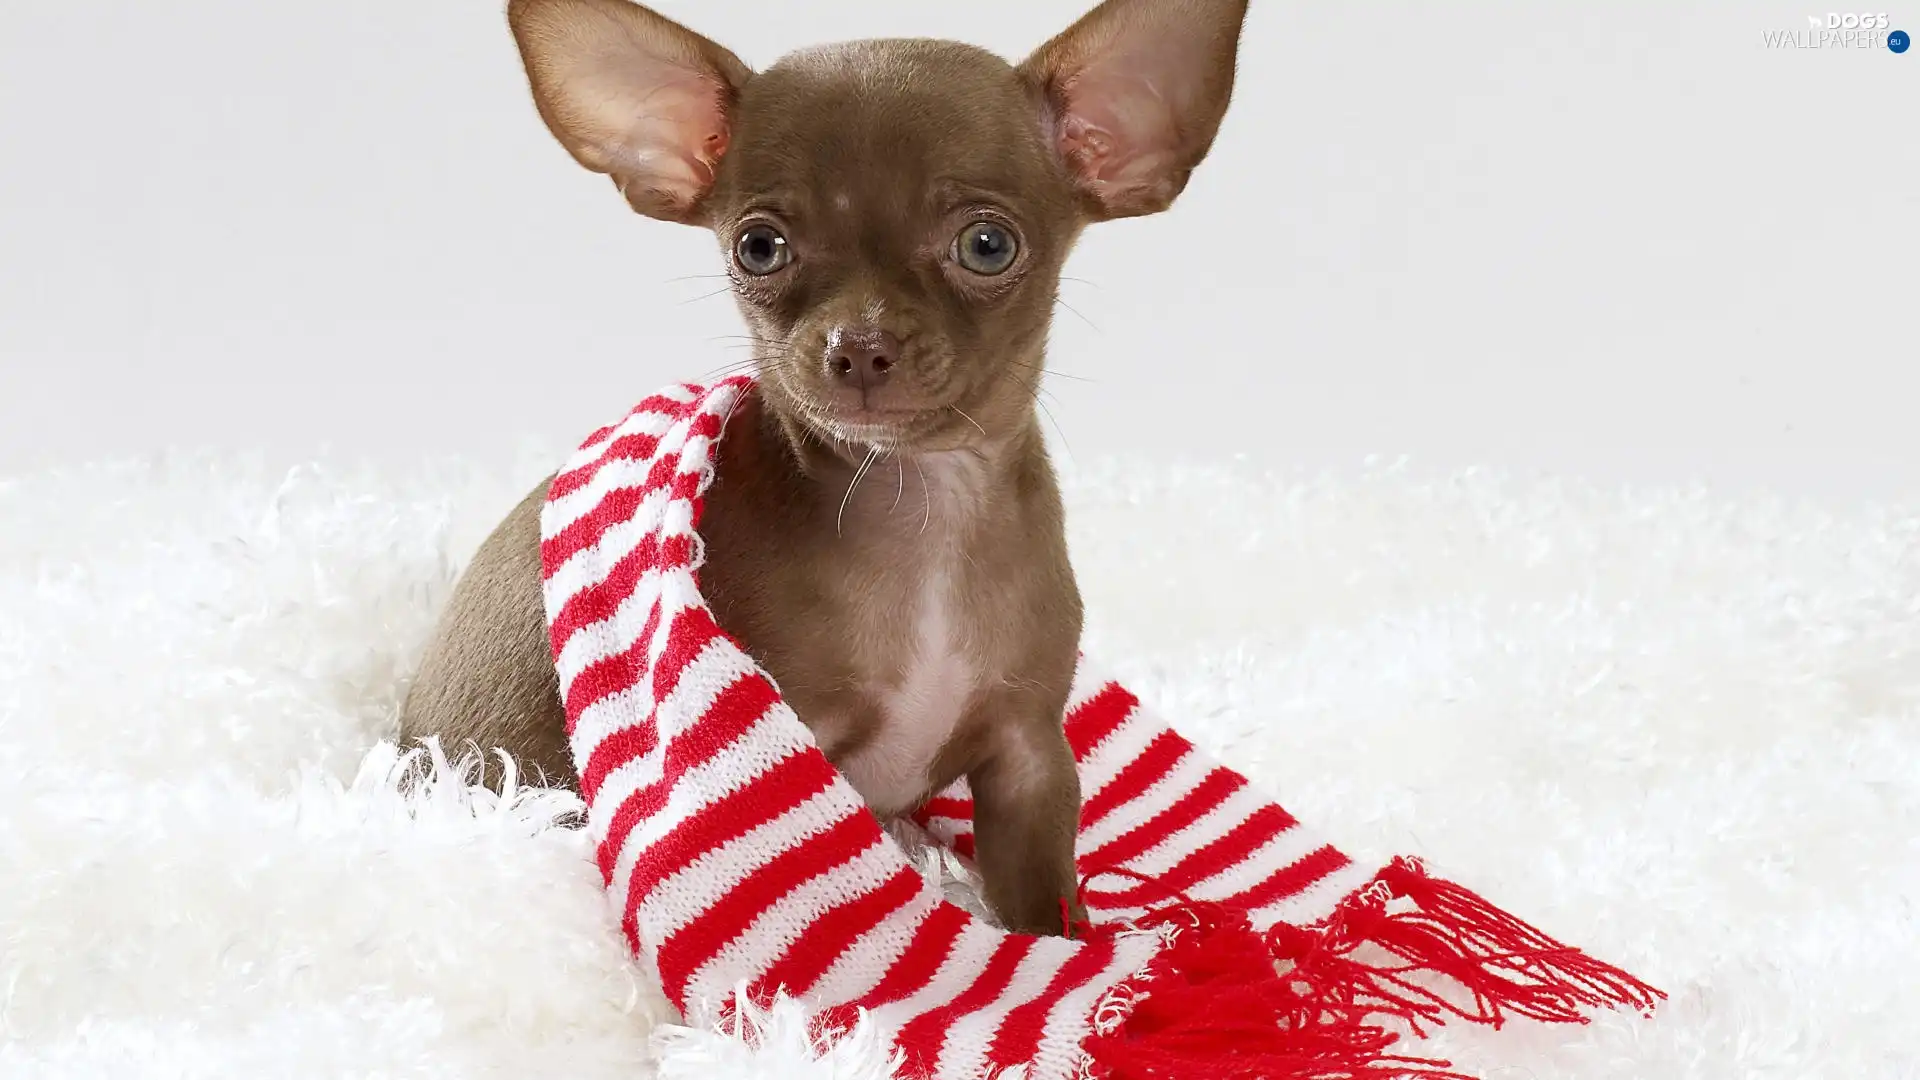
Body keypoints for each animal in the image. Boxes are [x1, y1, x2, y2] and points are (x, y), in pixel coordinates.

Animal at [397, 0, 1251, 930]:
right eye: (759, 248)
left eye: (988, 246)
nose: (859, 345)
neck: (927, 505)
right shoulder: (795, 754)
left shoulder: (1028, 759)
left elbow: (1047, 908)